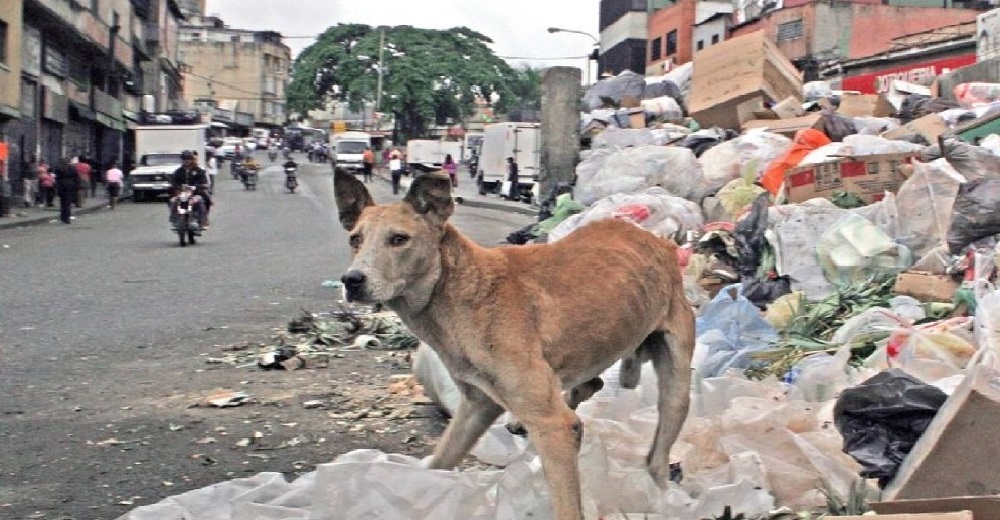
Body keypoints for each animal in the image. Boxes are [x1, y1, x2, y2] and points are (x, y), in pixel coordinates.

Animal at [336, 169, 696, 516]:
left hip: (676, 385)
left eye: (399, 239)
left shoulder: (554, 426)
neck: (458, 290)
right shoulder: (476, 406)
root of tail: (660, 241)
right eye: (355, 239)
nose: (352, 280)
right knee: (589, 384)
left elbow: (568, 504)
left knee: (658, 450)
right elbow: (442, 460)